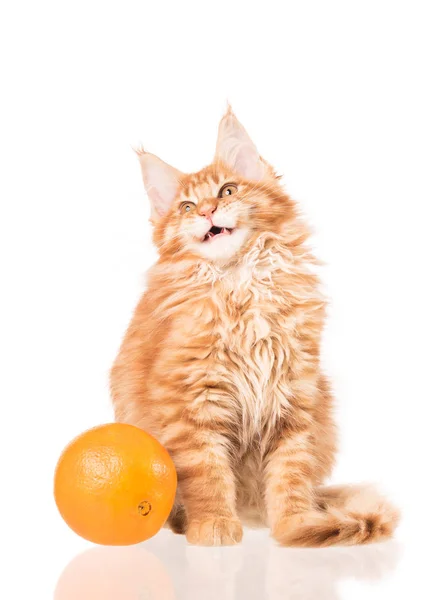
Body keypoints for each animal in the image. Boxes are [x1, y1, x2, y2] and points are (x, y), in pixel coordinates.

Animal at [109, 105, 400, 548]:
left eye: (227, 191)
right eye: (187, 207)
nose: (208, 212)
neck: (242, 285)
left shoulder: (294, 397)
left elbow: (289, 475)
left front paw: (296, 526)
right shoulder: (193, 402)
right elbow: (207, 474)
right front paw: (213, 526)